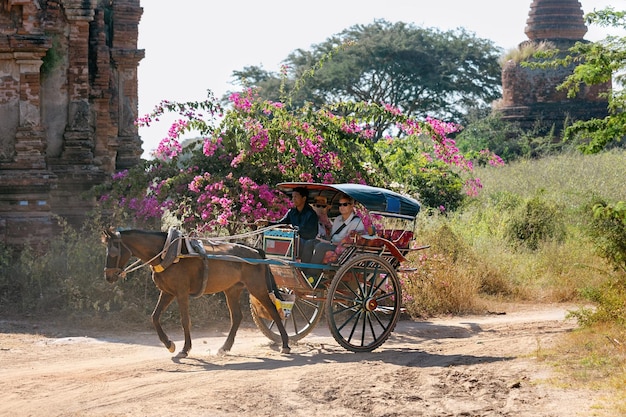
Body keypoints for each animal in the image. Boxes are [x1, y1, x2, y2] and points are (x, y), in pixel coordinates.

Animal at [101, 228, 288, 358]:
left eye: (113, 252)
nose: (108, 276)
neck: (168, 253)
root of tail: (257, 252)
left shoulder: (181, 293)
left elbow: (185, 321)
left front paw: (185, 349)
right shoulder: (167, 292)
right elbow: (154, 317)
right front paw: (169, 344)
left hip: (257, 288)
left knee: (273, 311)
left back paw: (285, 344)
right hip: (232, 289)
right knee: (237, 317)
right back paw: (225, 347)